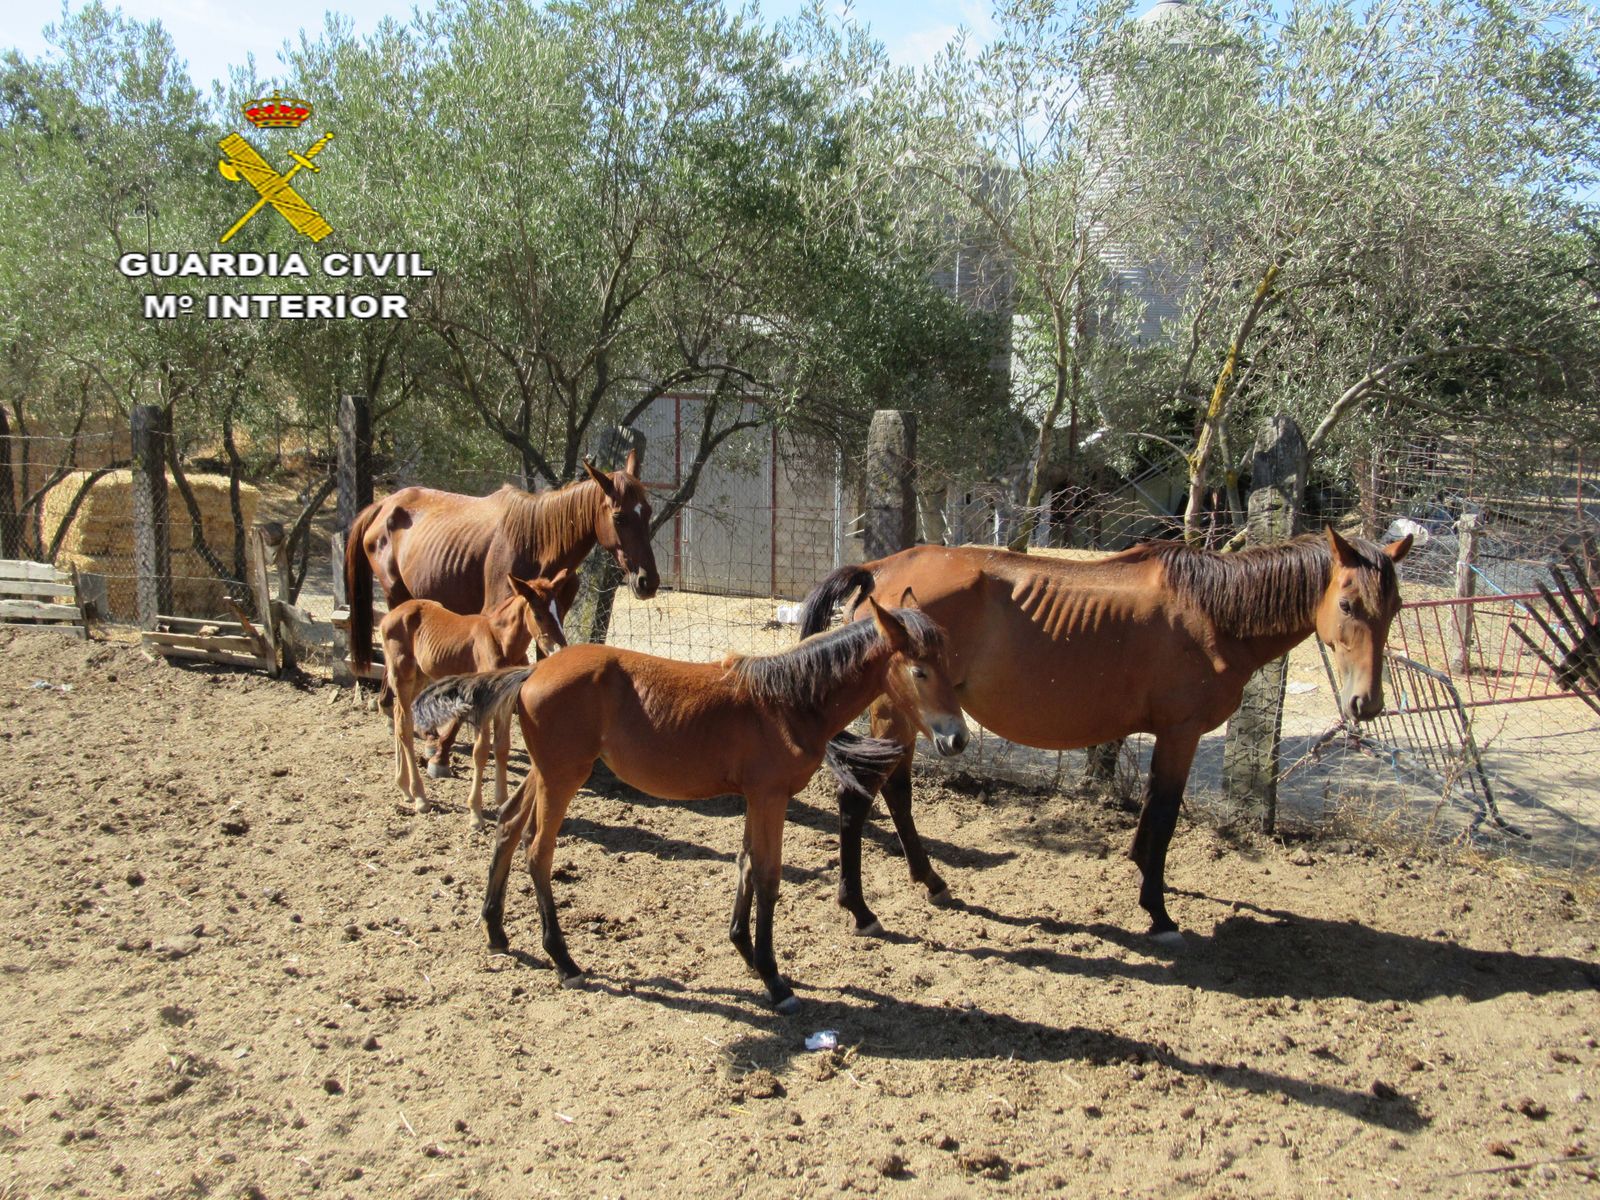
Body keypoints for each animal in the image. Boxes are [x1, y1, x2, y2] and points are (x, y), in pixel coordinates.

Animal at [346, 447, 659, 775]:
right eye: (619, 517)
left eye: (648, 512)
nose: (647, 581)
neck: (539, 542)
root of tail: (384, 504)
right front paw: (442, 755)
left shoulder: (547, 624)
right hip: (395, 593)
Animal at [381, 570, 571, 829]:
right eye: (538, 614)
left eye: (559, 611)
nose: (560, 650)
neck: (500, 642)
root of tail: (388, 616)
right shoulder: (482, 702)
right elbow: (480, 752)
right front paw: (475, 813)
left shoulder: (505, 702)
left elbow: (502, 747)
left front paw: (501, 803)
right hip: (402, 676)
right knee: (403, 726)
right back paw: (420, 796)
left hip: (421, 676)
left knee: (401, 717)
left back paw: (403, 787)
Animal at [412, 595, 970, 1013]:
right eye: (919, 671)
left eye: (950, 667)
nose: (957, 738)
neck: (788, 701)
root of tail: (529, 674)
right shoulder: (769, 797)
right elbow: (768, 876)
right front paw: (775, 980)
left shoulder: (754, 798)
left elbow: (745, 865)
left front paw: (744, 950)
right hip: (563, 777)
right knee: (538, 851)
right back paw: (564, 960)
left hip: (547, 773)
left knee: (508, 826)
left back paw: (496, 931)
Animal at [797, 526, 1413, 944]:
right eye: (1347, 604)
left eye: (1396, 607)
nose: (1366, 703)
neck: (1210, 612)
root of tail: (882, 569)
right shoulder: (1181, 732)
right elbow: (1164, 815)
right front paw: (1158, 912)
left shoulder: (1170, 735)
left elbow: (1153, 812)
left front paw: (1142, 873)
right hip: (895, 716)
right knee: (858, 799)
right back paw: (860, 909)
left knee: (897, 794)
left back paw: (930, 880)